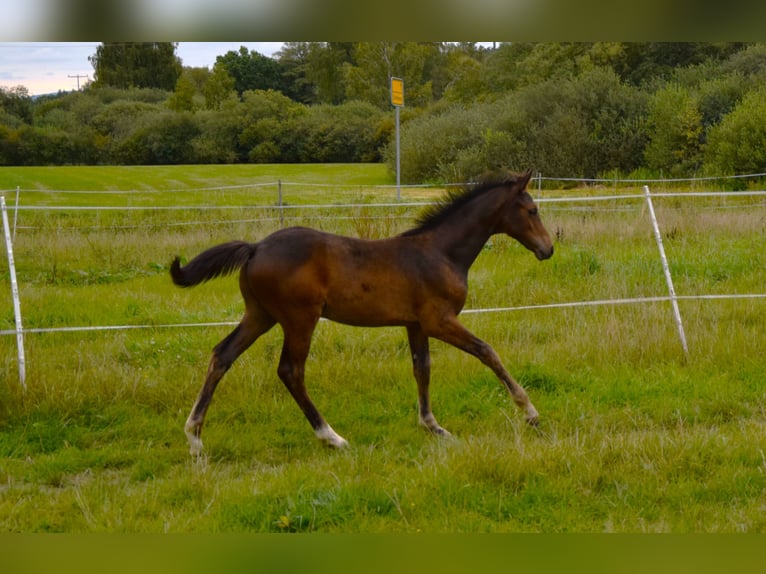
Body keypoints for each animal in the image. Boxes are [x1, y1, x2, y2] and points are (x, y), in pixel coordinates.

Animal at [170, 169, 554, 455]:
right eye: (532, 210)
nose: (547, 249)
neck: (440, 253)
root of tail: (255, 248)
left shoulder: (416, 324)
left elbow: (422, 369)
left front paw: (433, 426)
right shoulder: (439, 321)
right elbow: (487, 352)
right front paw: (530, 413)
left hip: (260, 315)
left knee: (222, 356)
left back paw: (195, 438)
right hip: (299, 319)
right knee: (290, 371)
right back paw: (332, 437)